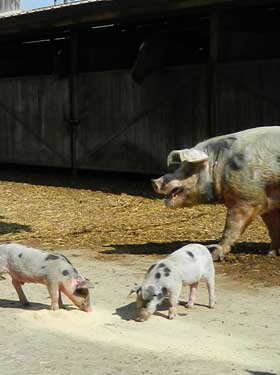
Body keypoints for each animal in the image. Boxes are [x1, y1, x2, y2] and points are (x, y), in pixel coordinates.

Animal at [152, 126, 280, 262]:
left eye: (189, 169)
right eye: (180, 167)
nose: (154, 182)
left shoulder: (247, 199)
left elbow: (231, 228)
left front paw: (214, 255)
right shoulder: (268, 203)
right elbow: (273, 228)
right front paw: (271, 254)